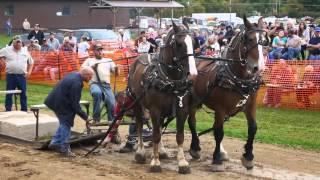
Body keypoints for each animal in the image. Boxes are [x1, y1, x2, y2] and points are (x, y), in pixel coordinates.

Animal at [127, 21, 198, 174]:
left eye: (194, 42)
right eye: (179, 43)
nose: (193, 75)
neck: (169, 79)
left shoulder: (182, 109)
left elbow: (179, 136)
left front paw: (182, 162)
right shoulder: (155, 109)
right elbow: (155, 135)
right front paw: (155, 162)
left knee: (159, 126)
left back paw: (162, 151)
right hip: (136, 103)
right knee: (140, 125)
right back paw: (140, 152)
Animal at [188, 15, 268, 172]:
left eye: (264, 40)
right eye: (249, 39)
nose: (259, 67)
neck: (239, 79)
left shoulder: (250, 106)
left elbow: (253, 128)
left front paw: (248, 157)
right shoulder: (220, 109)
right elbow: (219, 132)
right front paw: (216, 160)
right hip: (192, 102)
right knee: (192, 122)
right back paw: (195, 148)